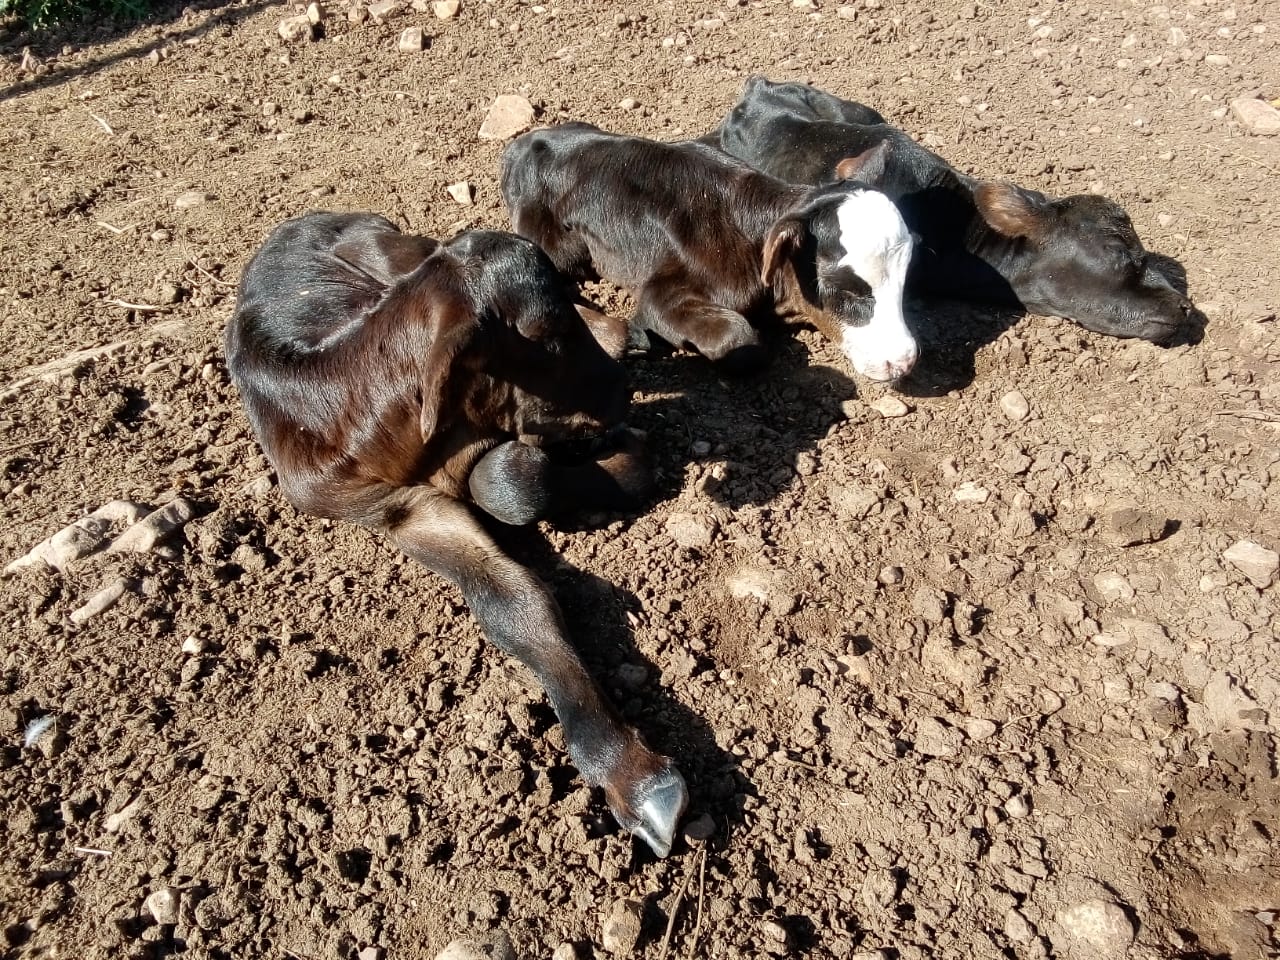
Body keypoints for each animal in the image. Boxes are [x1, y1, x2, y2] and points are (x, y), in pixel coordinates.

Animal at [227, 213, 691, 860]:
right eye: (546, 334)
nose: (620, 391)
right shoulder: (389, 509)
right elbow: (512, 595)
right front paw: (634, 778)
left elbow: (515, 483)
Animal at [499, 122, 921, 386]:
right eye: (848, 290)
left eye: (904, 281)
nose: (905, 361)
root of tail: (524, 144)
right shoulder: (661, 294)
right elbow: (742, 341)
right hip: (555, 244)